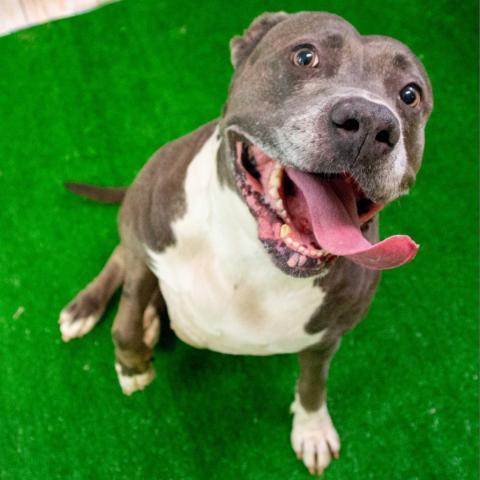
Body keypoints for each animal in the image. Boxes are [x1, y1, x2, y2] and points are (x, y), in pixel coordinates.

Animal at [58, 11, 434, 476]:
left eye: (410, 94)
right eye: (304, 56)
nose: (369, 122)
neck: (251, 254)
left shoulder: (326, 337)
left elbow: (313, 384)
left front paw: (312, 430)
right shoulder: (146, 241)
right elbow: (124, 320)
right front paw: (131, 366)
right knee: (118, 261)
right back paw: (87, 308)